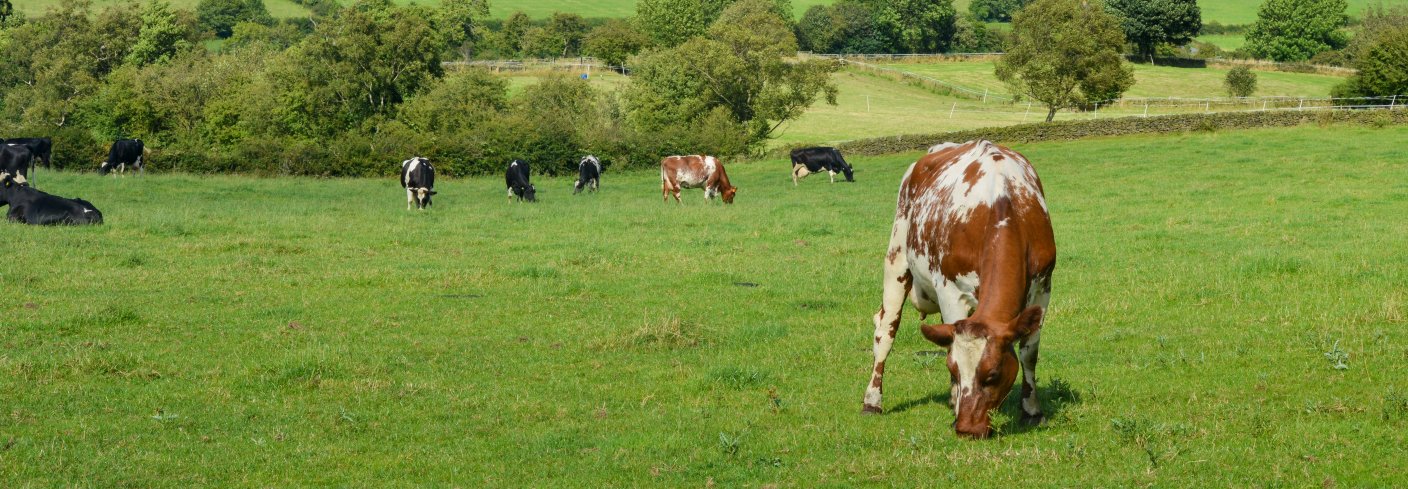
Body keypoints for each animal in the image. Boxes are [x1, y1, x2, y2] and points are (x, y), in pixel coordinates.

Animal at [856, 138, 1058, 439]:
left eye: (993, 375)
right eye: (953, 369)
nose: (967, 429)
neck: (1003, 203)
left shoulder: (1043, 287)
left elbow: (1029, 353)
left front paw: (1032, 411)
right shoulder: (950, 291)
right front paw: (955, 404)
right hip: (896, 258)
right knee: (885, 329)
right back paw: (872, 401)